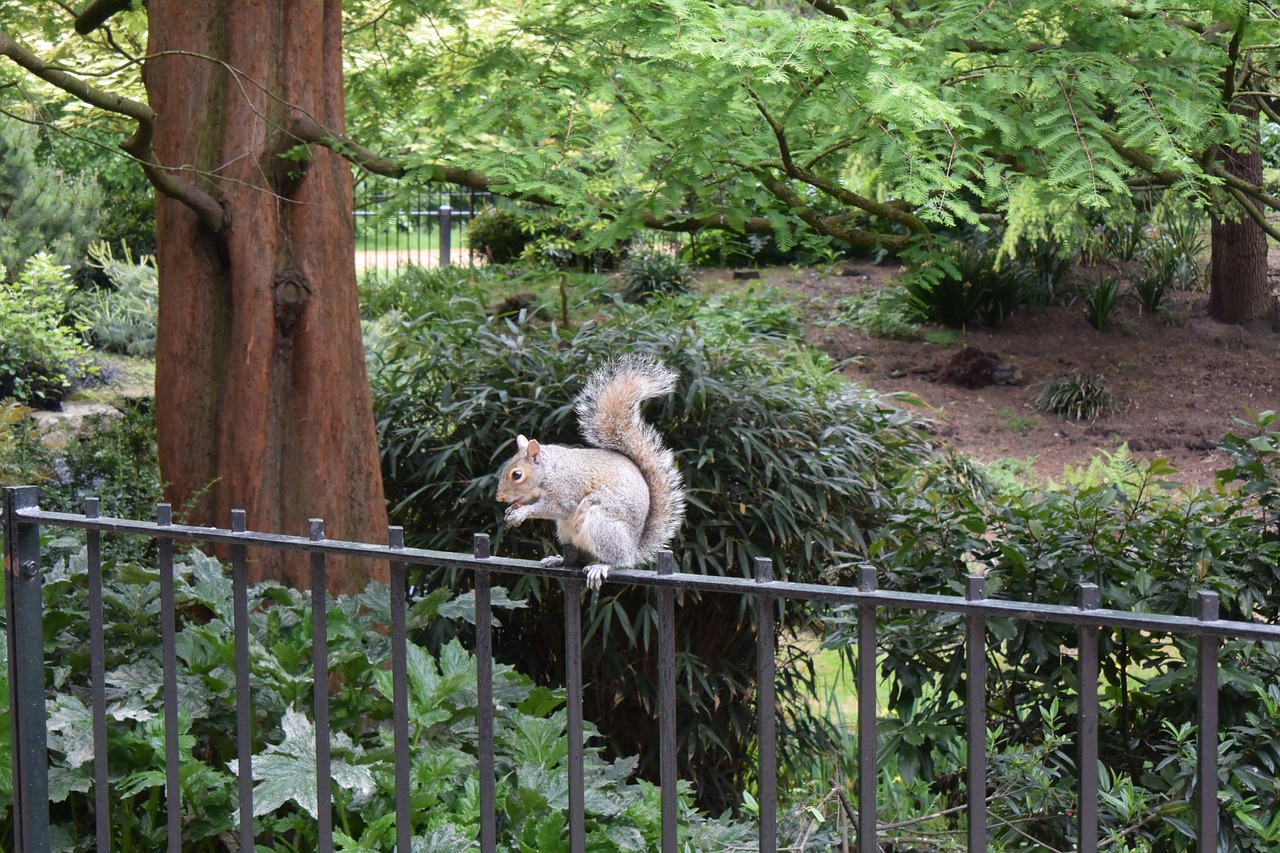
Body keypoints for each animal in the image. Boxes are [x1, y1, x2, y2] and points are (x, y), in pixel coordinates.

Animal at [494, 350, 686, 584]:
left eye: (517, 474)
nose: (500, 498)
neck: (551, 470)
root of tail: (633, 548)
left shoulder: (567, 490)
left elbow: (558, 508)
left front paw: (522, 513)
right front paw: (511, 510)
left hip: (602, 526)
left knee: (618, 560)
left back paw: (603, 566)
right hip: (568, 532)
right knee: (582, 557)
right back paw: (558, 559)